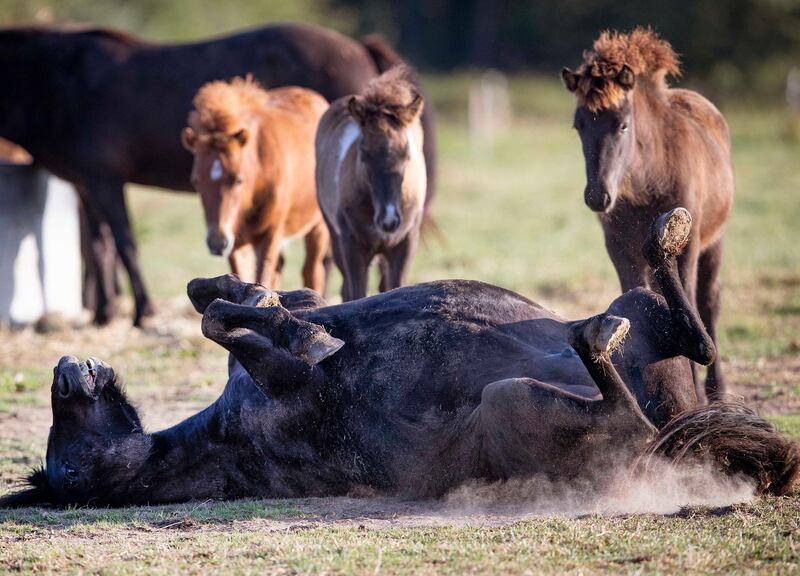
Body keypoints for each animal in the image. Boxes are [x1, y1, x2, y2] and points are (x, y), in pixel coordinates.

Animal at [3, 209, 796, 506]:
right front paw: (300, 334)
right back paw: (596, 340)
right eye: (66, 467)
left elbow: (221, 302)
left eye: (64, 431)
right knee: (629, 409)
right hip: (514, 401)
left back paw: (666, 236)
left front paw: (264, 304)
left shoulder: (293, 304)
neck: (217, 438)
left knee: (692, 334)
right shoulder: (296, 396)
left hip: (649, 341)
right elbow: (239, 330)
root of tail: (672, 449)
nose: (66, 371)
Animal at [183, 77, 330, 292]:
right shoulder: (236, 242)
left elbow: (263, 278)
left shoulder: (270, 233)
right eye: (196, 182)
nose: (217, 243)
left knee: (312, 270)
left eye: (238, 180)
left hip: (318, 226)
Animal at [560, 28, 736, 400]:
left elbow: (691, 301)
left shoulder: (689, 247)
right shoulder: (617, 245)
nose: (597, 196)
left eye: (624, 125)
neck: (648, 179)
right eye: (578, 126)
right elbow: (633, 293)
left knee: (709, 301)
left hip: (715, 242)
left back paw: (716, 389)